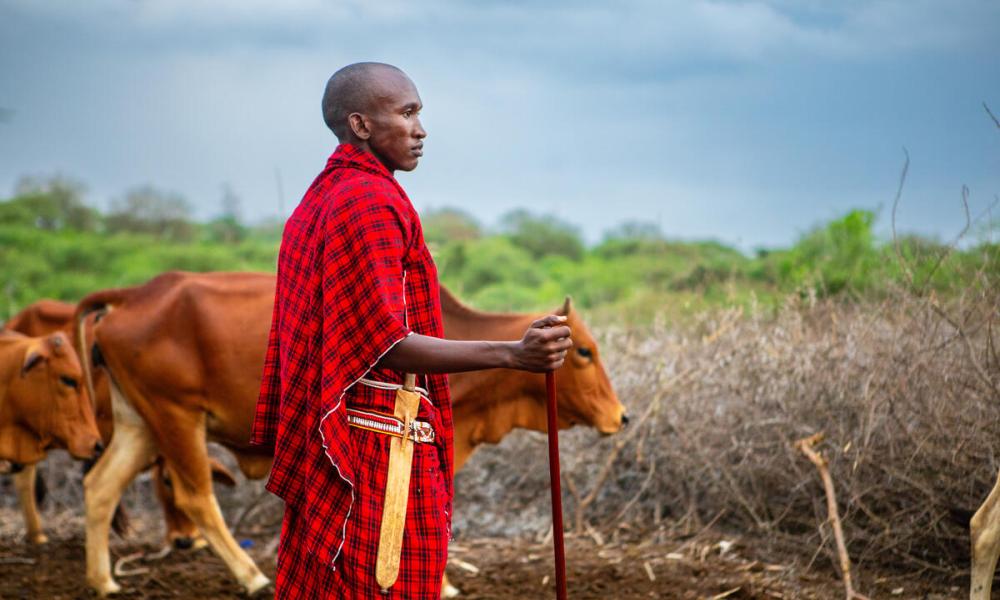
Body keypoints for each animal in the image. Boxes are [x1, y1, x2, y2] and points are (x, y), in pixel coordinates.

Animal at [78, 274, 620, 596]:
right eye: (585, 352)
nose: (622, 417)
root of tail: (132, 295)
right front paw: (444, 583)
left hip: (141, 421)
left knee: (100, 486)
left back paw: (103, 581)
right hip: (176, 415)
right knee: (195, 496)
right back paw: (252, 576)